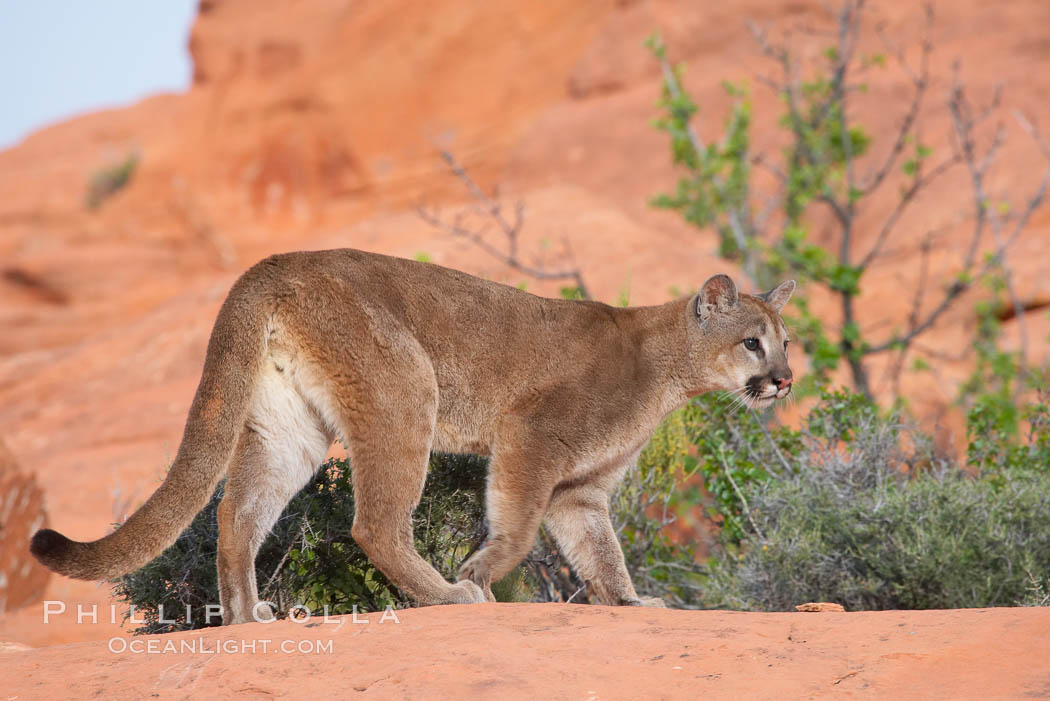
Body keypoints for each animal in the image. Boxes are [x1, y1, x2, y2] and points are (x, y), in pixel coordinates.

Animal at [28, 248, 789, 621]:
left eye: (789, 343)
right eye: (753, 342)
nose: (783, 380)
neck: (667, 366)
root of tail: (270, 265)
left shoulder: (582, 491)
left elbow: (603, 553)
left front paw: (631, 602)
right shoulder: (532, 434)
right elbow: (516, 529)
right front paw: (478, 575)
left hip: (290, 426)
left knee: (236, 511)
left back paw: (248, 615)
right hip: (405, 390)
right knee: (374, 524)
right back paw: (447, 596)